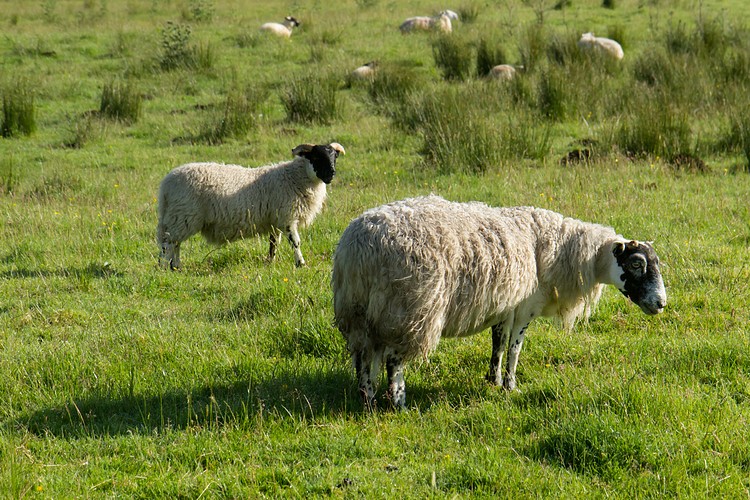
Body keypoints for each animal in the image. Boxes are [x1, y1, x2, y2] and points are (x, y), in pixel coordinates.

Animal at [157, 142, 345, 270]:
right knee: (168, 243)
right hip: (184, 215)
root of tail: (166, 184)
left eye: (334, 157)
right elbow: (295, 242)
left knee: (175, 243)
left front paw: (270, 262)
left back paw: (176, 267)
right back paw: (164, 267)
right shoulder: (287, 217)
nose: (331, 174)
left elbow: (274, 243)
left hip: (178, 218)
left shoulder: (274, 220)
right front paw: (301, 263)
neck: (297, 177)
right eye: (316, 157)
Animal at [332, 195, 666, 409]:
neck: (563, 249)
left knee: (362, 358)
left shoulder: (505, 307)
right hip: (409, 310)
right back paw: (398, 402)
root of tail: (360, 247)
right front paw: (510, 386)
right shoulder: (525, 308)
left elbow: (498, 344)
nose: (661, 303)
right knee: (393, 360)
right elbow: (515, 349)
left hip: (358, 311)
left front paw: (492, 379)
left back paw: (367, 400)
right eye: (637, 263)